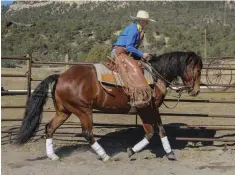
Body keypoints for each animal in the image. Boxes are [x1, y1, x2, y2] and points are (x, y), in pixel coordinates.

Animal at [15, 51, 202, 162]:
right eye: (197, 69)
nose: (196, 90)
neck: (154, 77)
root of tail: (60, 77)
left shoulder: (149, 110)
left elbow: (157, 131)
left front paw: (166, 152)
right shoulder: (146, 109)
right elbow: (152, 132)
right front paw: (134, 151)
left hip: (64, 111)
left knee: (49, 128)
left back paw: (53, 155)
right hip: (83, 111)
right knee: (87, 133)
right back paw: (104, 156)